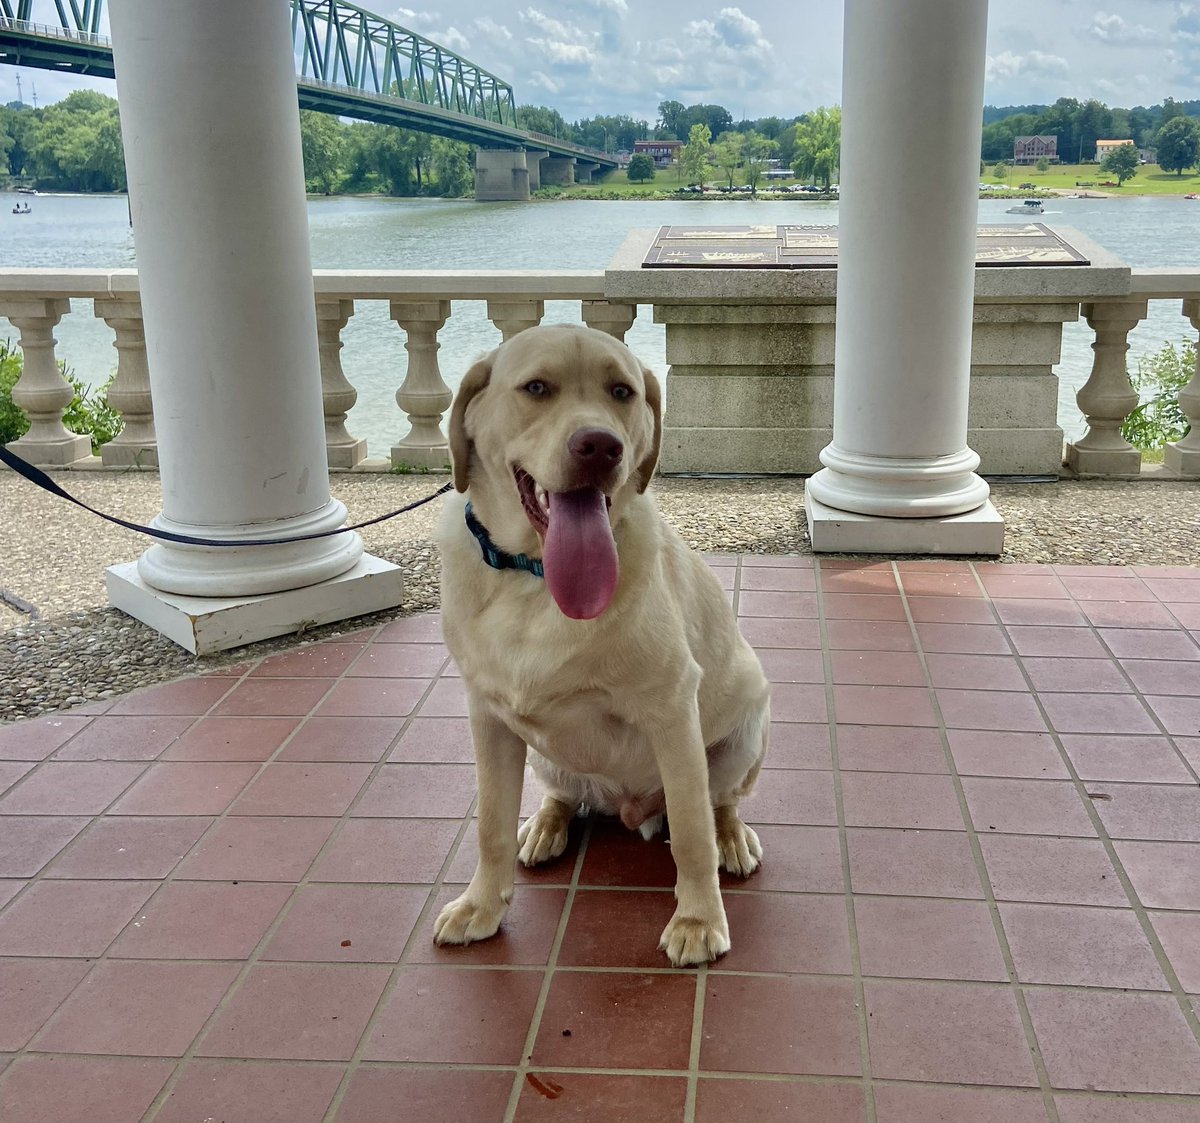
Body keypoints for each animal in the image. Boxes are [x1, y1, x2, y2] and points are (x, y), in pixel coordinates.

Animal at [432, 323, 768, 964]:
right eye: (537, 388)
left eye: (621, 392)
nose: (600, 447)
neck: (535, 578)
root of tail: (630, 807)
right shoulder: (487, 715)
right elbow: (489, 825)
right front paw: (481, 905)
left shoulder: (671, 712)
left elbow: (691, 833)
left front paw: (696, 920)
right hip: (543, 752)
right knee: (564, 795)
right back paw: (545, 824)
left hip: (746, 729)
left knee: (719, 802)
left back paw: (731, 838)